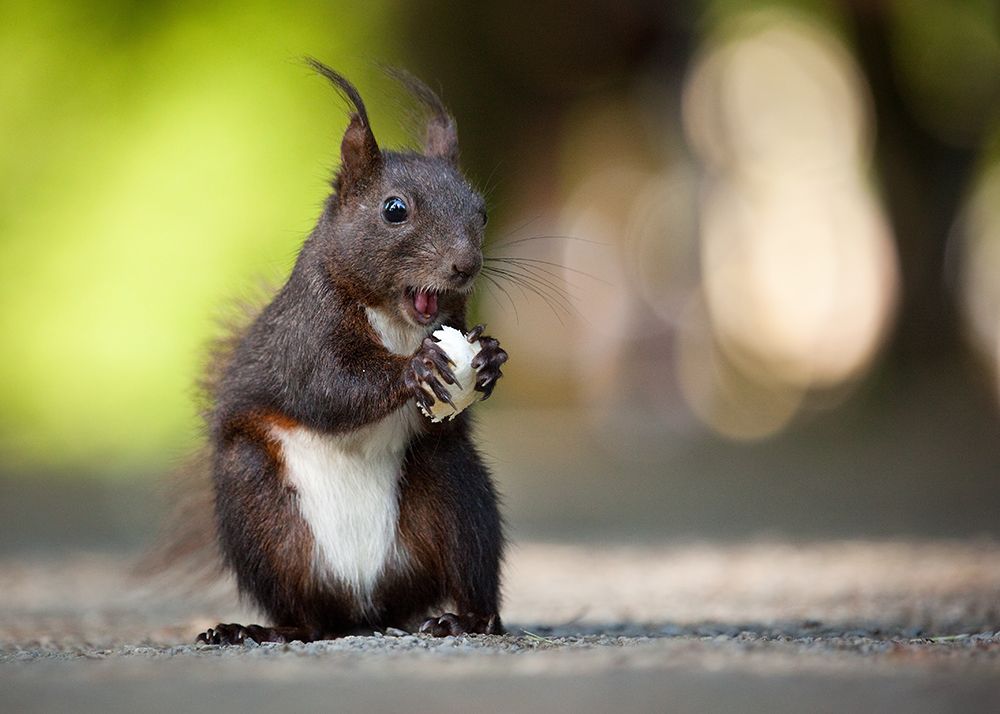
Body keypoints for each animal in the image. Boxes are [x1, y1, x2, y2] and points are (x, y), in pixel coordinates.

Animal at [190, 58, 508, 644]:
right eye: (394, 209)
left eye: (481, 212)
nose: (466, 265)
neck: (397, 321)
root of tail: (366, 606)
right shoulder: (303, 335)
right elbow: (327, 389)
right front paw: (416, 368)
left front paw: (492, 358)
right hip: (256, 508)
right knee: (307, 615)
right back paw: (263, 630)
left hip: (456, 492)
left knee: (467, 562)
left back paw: (465, 619)